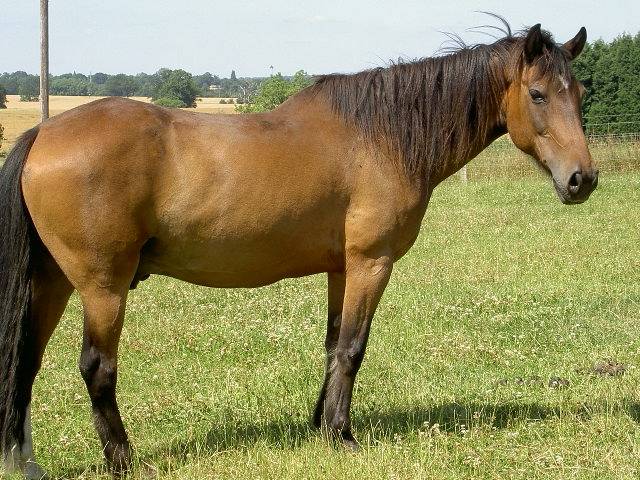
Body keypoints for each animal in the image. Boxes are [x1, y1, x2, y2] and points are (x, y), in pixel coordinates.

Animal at [0, 23, 597, 478]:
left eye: (581, 95)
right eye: (539, 94)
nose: (582, 179)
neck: (380, 137)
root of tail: (42, 135)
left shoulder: (342, 269)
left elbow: (333, 345)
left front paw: (320, 426)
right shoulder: (371, 263)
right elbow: (353, 348)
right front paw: (342, 434)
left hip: (51, 282)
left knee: (25, 361)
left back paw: (24, 461)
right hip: (102, 287)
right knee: (96, 368)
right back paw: (124, 459)